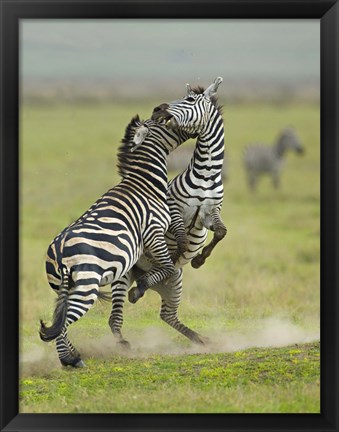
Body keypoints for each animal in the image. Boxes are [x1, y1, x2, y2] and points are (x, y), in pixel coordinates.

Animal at [40, 113, 195, 366]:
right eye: (164, 123)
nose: (167, 113)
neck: (145, 185)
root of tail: (60, 250)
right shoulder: (153, 232)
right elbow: (169, 268)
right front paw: (141, 287)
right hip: (86, 286)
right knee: (63, 321)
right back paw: (69, 360)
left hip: (61, 287)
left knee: (59, 318)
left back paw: (73, 355)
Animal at [111, 78, 228, 348]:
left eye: (190, 100)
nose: (159, 108)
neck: (206, 173)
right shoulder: (174, 207)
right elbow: (182, 238)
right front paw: (181, 254)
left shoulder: (210, 213)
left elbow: (221, 232)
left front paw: (199, 259)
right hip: (125, 276)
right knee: (120, 313)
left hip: (175, 284)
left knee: (168, 315)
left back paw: (201, 339)